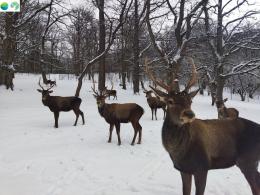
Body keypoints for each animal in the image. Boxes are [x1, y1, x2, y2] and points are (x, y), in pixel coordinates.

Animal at [145, 57, 260, 195]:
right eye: (170, 101)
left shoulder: (202, 167)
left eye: (190, 101)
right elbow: (186, 191)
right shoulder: (184, 169)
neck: (178, 151)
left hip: (248, 160)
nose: (189, 114)